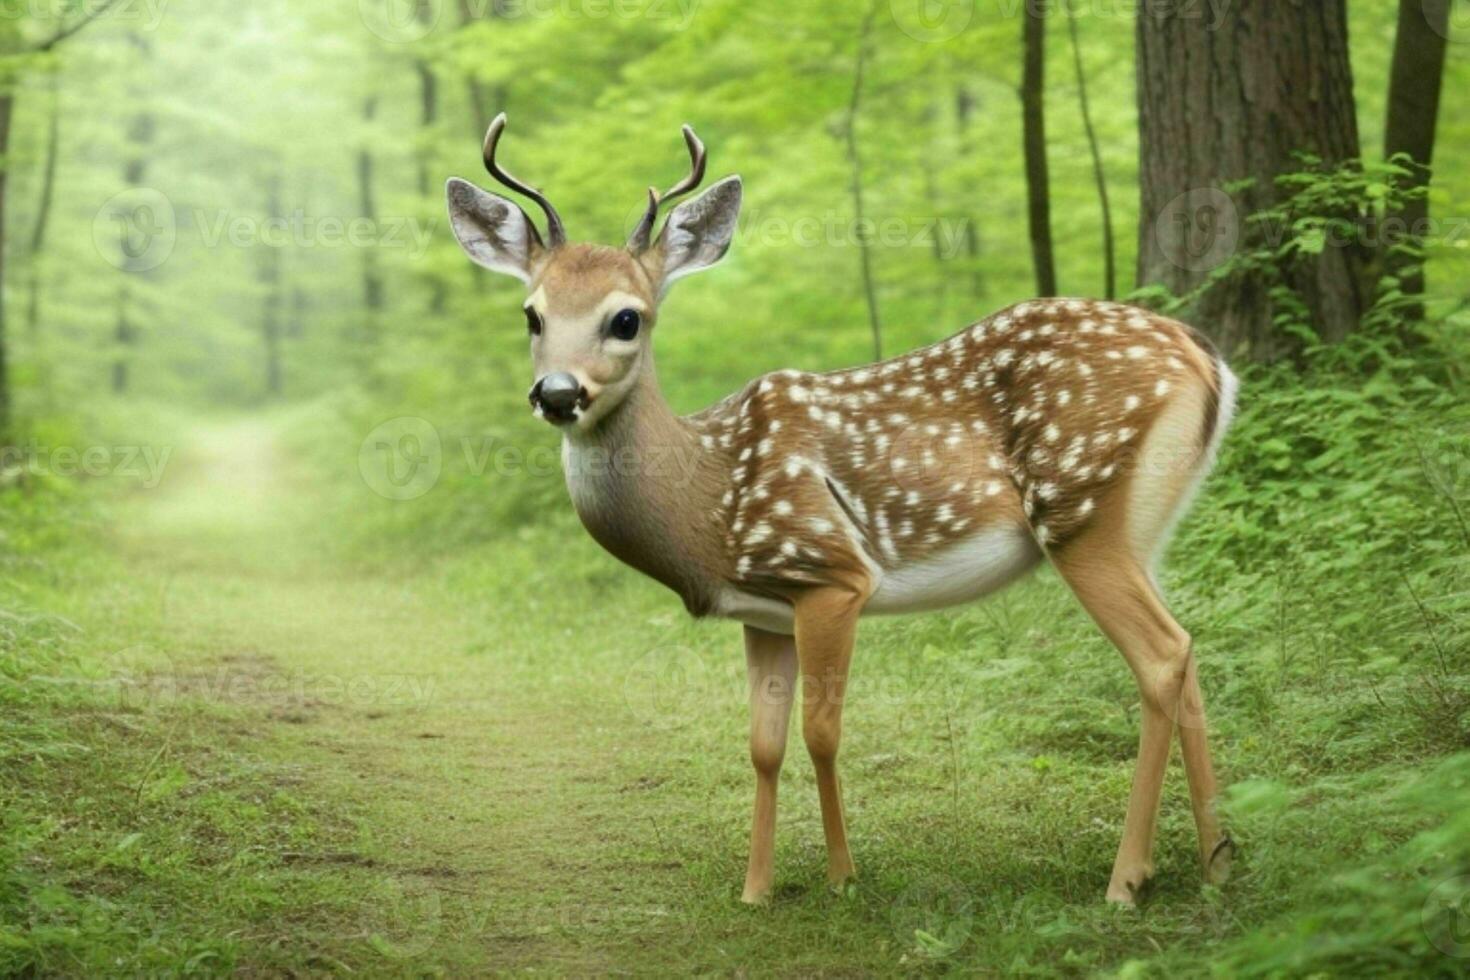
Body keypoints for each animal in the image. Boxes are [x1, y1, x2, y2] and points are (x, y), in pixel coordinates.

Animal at [446, 119, 1240, 910]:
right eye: (532, 314)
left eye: (625, 319)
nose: (557, 393)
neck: (708, 504)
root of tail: (1208, 360)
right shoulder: (764, 611)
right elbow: (762, 746)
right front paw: (756, 891)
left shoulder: (829, 572)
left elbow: (821, 731)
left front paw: (841, 876)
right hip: (1140, 528)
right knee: (1188, 651)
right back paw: (1216, 861)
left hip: (1080, 507)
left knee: (1161, 656)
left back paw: (1127, 878)